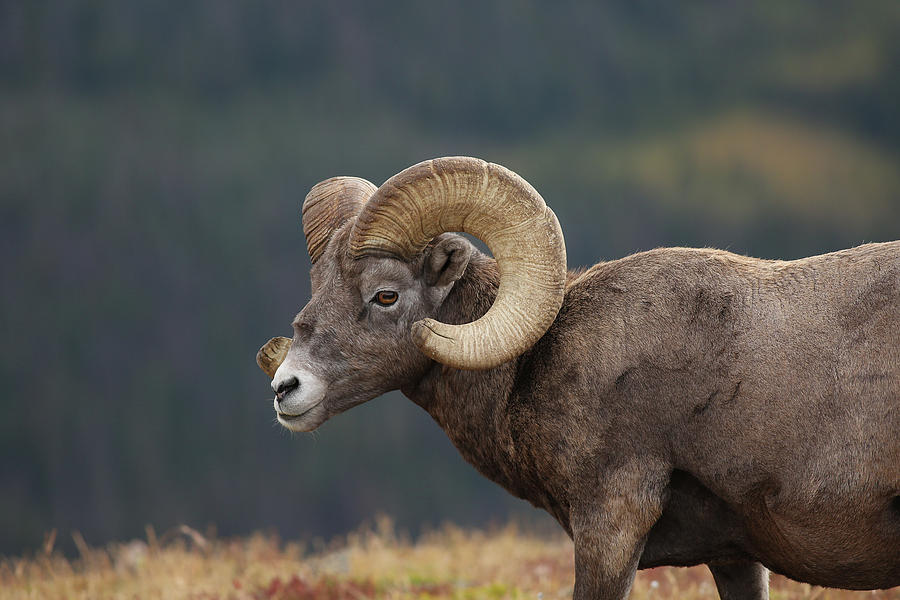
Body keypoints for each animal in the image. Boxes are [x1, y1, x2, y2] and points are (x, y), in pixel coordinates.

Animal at [256, 157, 896, 596]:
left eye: (385, 295)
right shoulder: (736, 556)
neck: (531, 365)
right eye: (318, 287)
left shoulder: (609, 528)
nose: (286, 388)